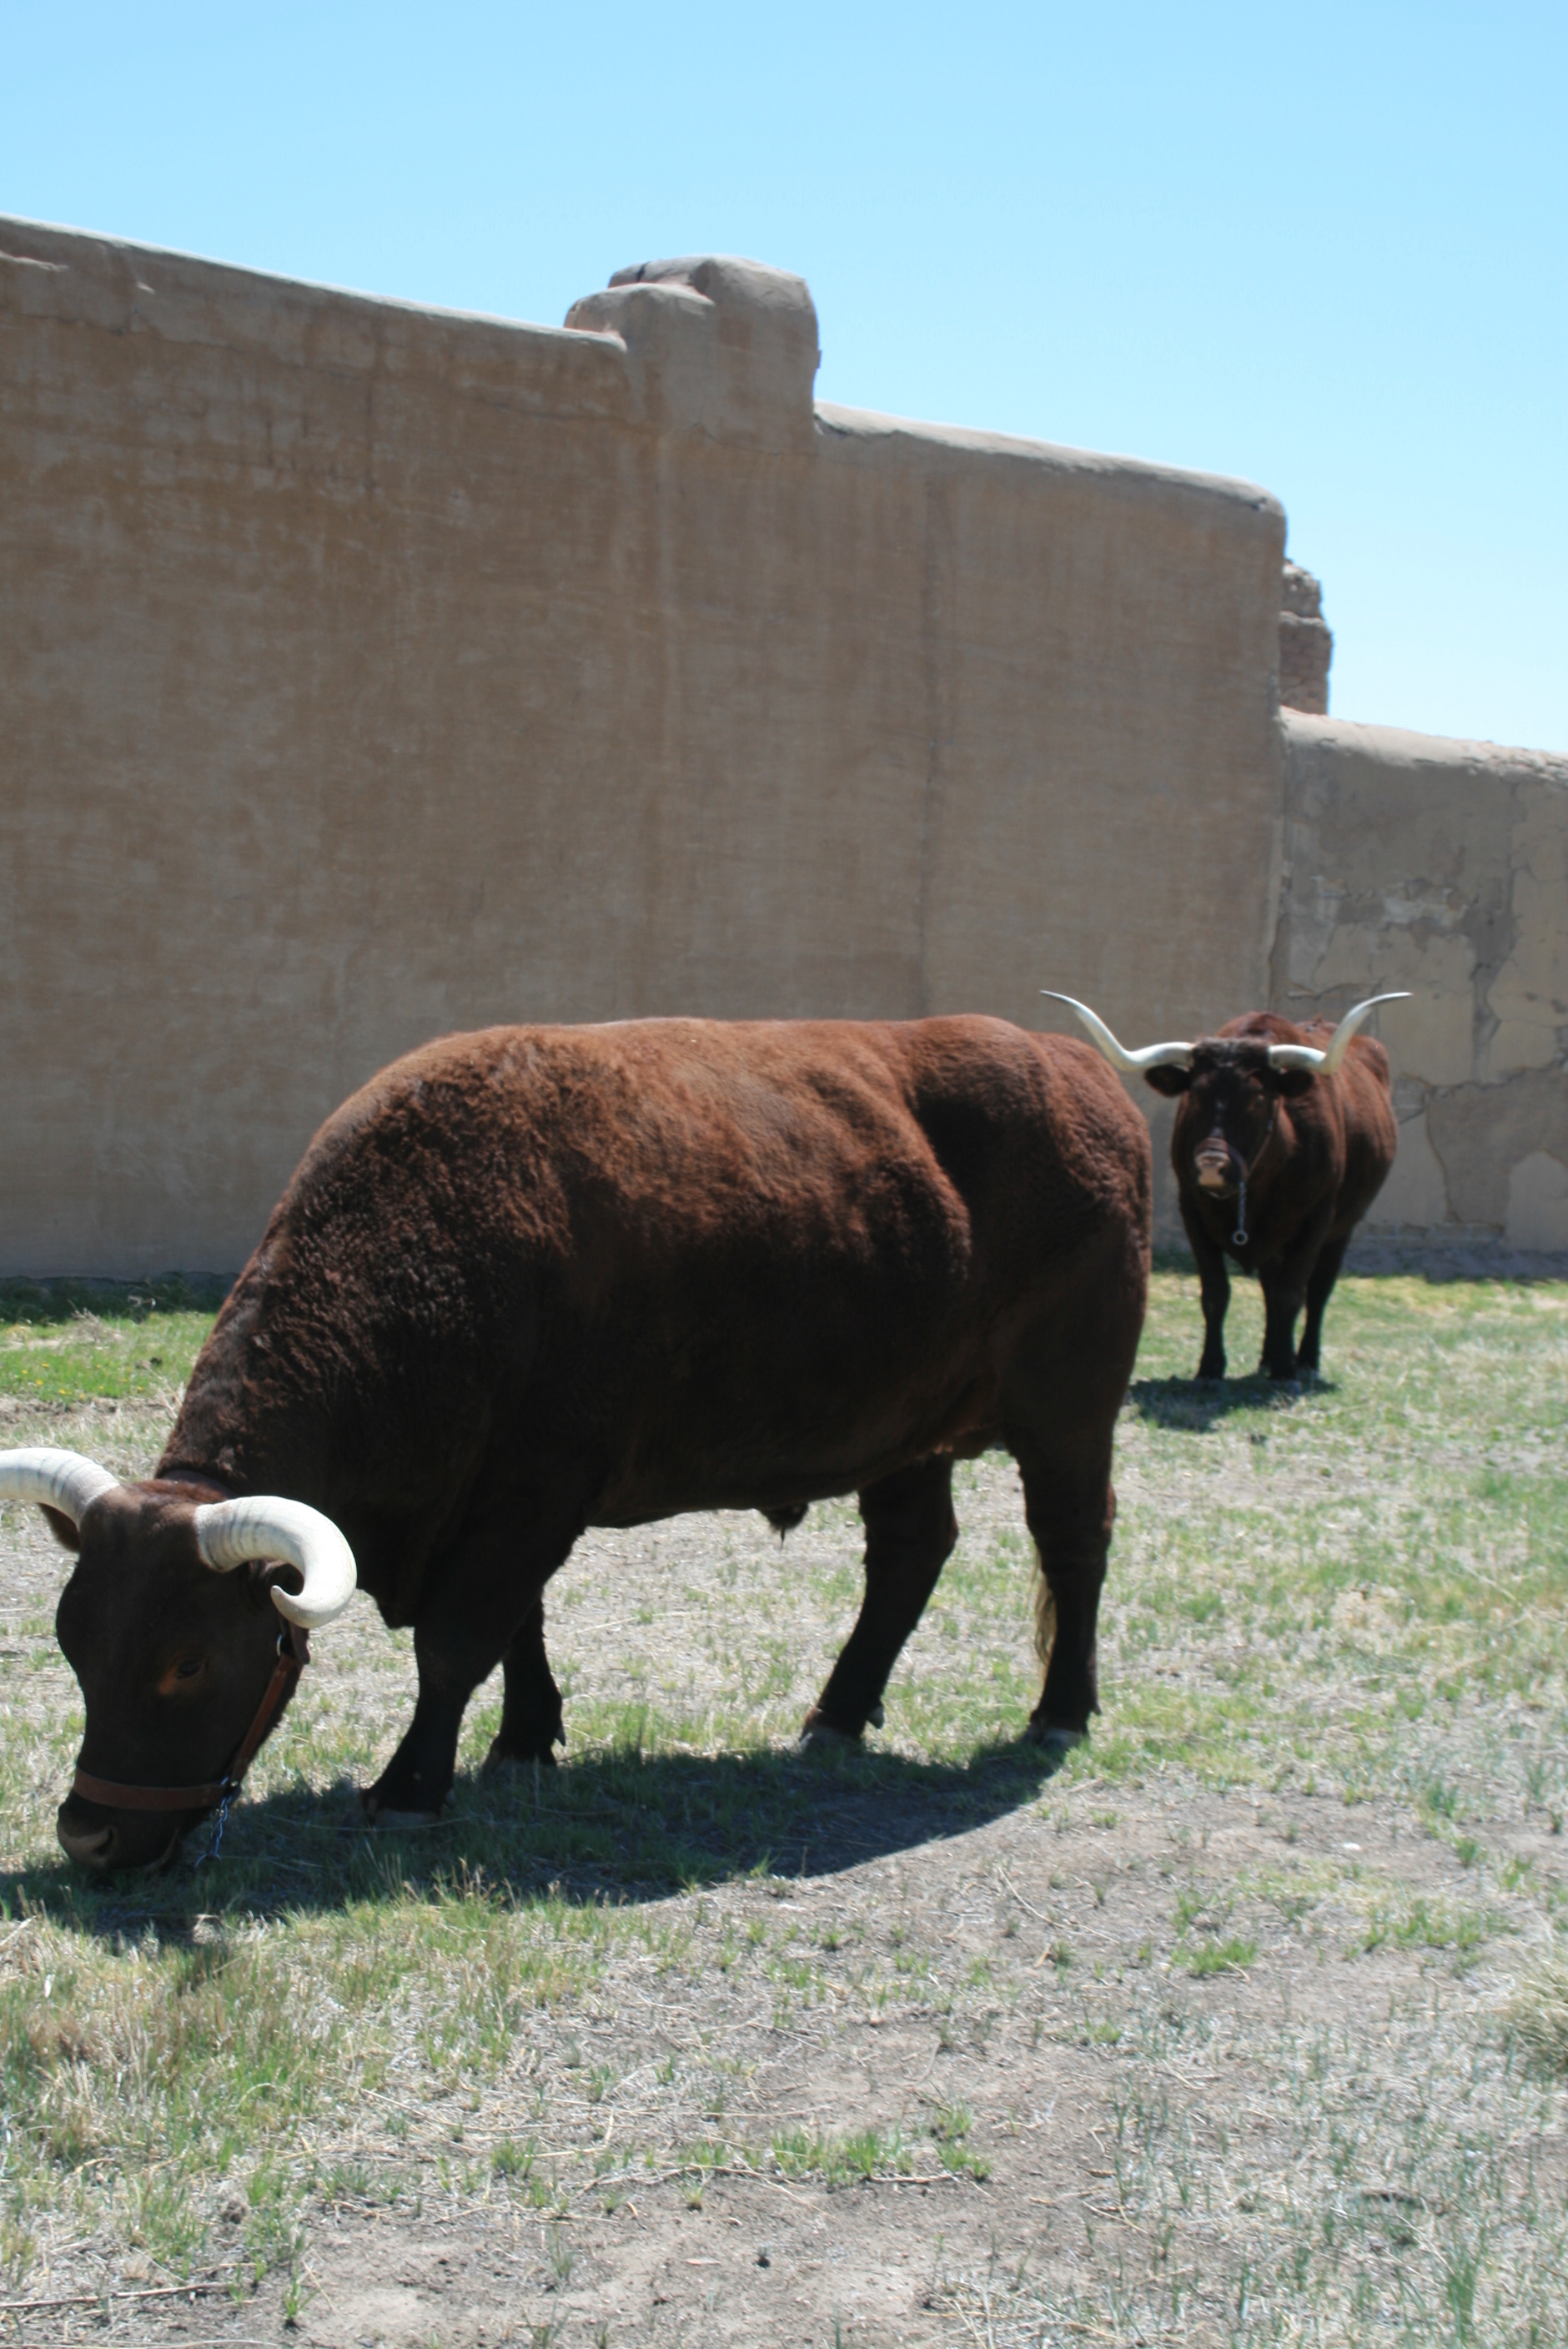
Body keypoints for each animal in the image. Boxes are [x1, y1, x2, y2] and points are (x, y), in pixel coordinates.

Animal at [0, 1015, 1151, 1871]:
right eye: (72, 1639)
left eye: (188, 1660)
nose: (87, 1834)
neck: (439, 1252)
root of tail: (1072, 1067)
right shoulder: (496, 1501)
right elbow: (519, 1630)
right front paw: (522, 1738)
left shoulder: (529, 1499)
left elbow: (456, 1641)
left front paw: (411, 1784)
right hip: (903, 1429)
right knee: (910, 1552)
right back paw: (837, 1711)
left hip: (1067, 1406)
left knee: (1073, 1540)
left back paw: (1058, 1710)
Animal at [1043, 992, 1405, 1382]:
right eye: (1195, 1095)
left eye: (1257, 1099)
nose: (1211, 1165)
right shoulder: (1193, 1212)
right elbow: (1217, 1293)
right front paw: (1211, 1367)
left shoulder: (1316, 1219)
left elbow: (1293, 1293)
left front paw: (1285, 1369)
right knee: (1269, 1287)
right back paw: (1266, 1357)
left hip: (1342, 1227)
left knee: (1319, 1290)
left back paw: (1305, 1360)